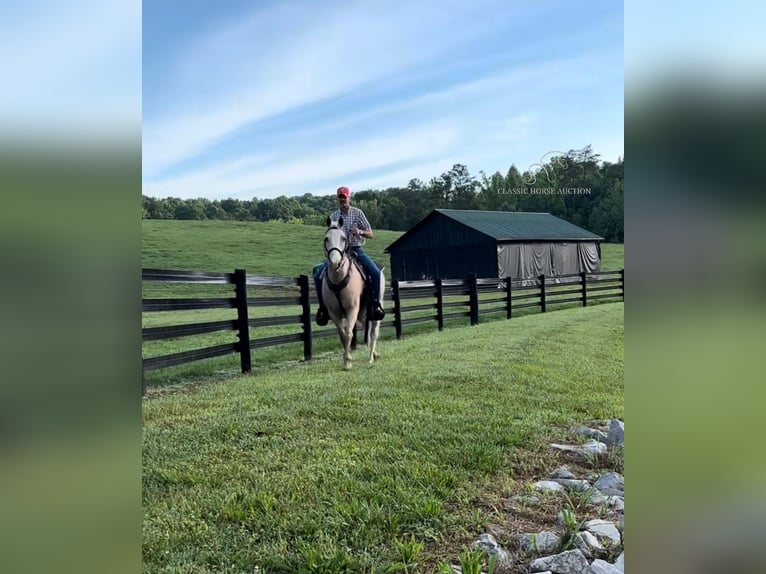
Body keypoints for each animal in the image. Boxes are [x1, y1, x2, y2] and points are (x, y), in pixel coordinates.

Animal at [322, 216, 384, 368]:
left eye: (343, 238)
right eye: (326, 238)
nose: (335, 262)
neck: (339, 278)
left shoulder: (352, 309)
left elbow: (349, 333)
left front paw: (348, 361)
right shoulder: (334, 312)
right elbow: (342, 334)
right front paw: (346, 360)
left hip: (375, 309)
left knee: (374, 332)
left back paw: (371, 358)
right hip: (363, 313)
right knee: (367, 329)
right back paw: (374, 354)